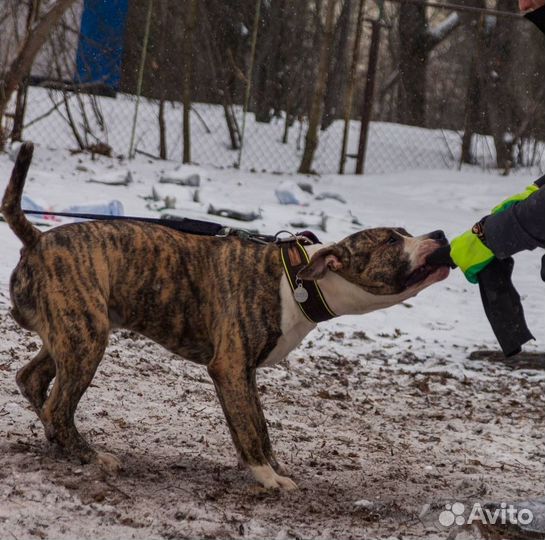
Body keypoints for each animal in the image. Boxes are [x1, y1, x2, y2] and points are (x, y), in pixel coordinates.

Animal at [2, 142, 448, 490]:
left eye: (406, 231)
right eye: (390, 240)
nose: (440, 234)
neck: (298, 279)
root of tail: (37, 239)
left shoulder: (245, 373)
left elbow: (259, 424)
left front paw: (272, 467)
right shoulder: (231, 367)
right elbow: (249, 426)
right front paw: (266, 477)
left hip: (72, 331)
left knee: (33, 381)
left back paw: (56, 440)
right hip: (86, 337)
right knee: (59, 407)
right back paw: (90, 456)